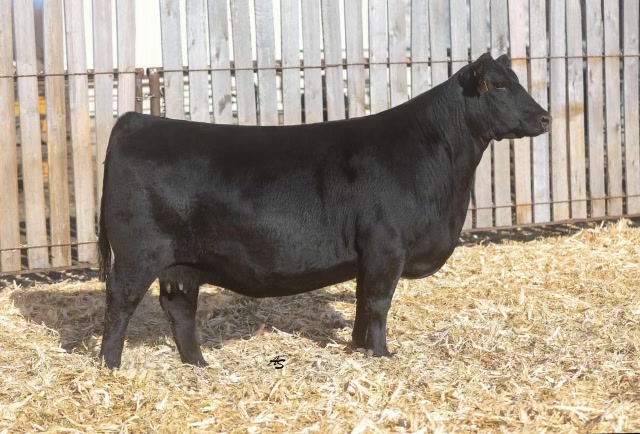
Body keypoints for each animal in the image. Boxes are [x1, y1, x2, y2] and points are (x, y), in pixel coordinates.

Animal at [97, 53, 551, 369]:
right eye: (498, 85)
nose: (545, 117)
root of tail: (134, 120)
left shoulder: (369, 256)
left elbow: (362, 302)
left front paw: (358, 347)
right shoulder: (386, 247)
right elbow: (379, 302)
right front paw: (382, 354)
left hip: (183, 262)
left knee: (179, 308)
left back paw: (197, 364)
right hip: (138, 254)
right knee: (120, 302)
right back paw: (111, 365)